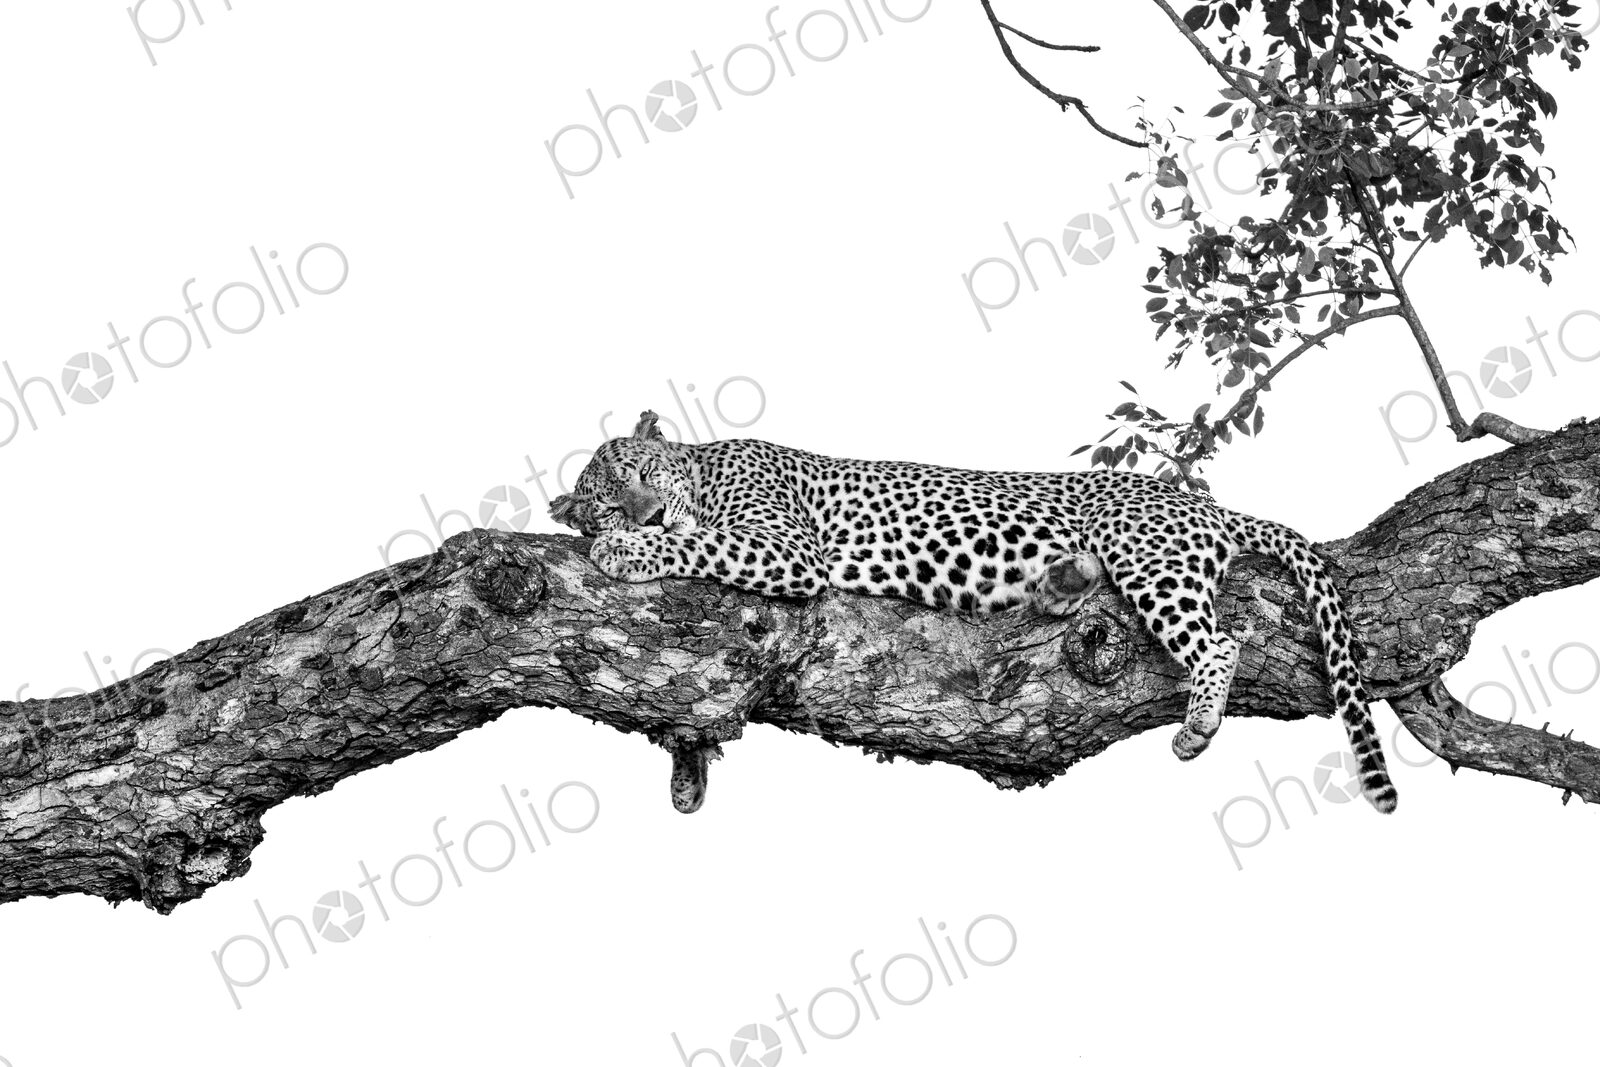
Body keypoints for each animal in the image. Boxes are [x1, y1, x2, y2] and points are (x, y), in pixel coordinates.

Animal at [550, 411, 1396, 813]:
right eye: (607, 493)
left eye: (641, 469)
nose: (640, 511)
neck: (703, 468)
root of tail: (1204, 505)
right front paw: (686, 773)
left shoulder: (784, 544)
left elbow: (698, 542)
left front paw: (627, 549)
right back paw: (1060, 581)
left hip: (1146, 554)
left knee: (1219, 643)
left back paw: (1198, 723)